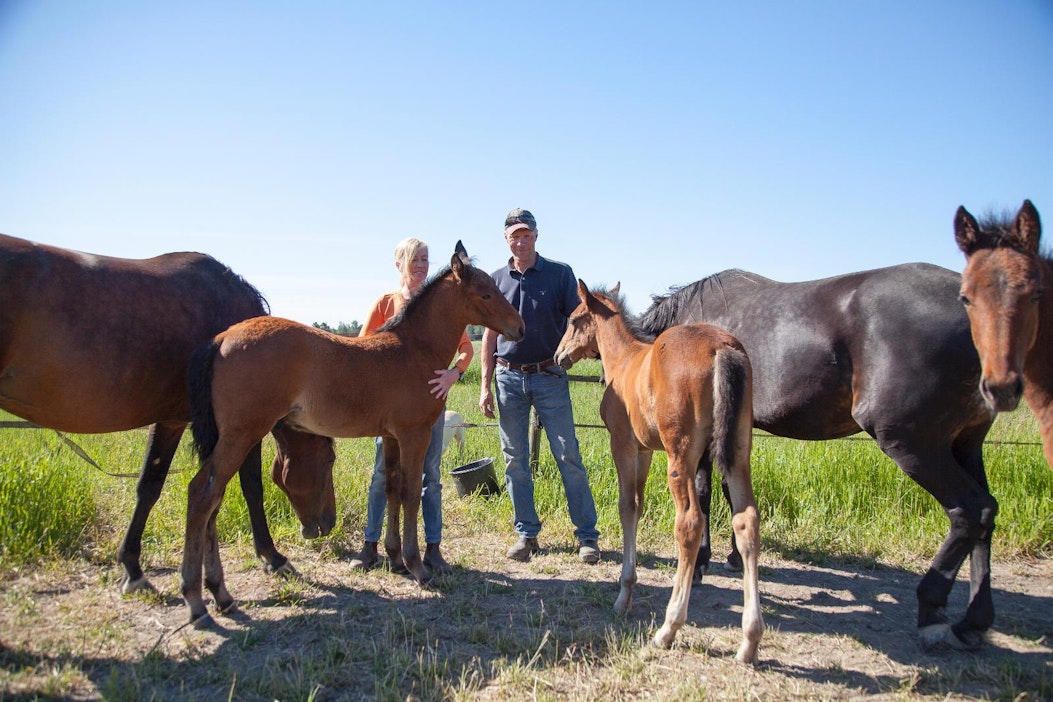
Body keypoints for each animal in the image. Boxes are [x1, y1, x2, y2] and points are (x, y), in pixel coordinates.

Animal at [0, 234, 328, 593]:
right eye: (329, 461)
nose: (327, 525)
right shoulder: (239, 426)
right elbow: (248, 486)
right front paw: (272, 556)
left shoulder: (172, 420)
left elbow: (149, 486)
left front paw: (132, 567)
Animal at [184, 243, 522, 627]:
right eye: (485, 293)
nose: (519, 327)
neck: (413, 350)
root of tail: (221, 339)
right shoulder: (413, 434)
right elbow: (410, 493)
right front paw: (417, 567)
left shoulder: (390, 437)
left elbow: (391, 489)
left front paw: (395, 559)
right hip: (240, 435)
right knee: (203, 496)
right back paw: (198, 601)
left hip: (227, 438)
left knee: (210, 500)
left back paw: (220, 596)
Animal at [551, 282, 766, 665]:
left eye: (574, 320)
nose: (559, 356)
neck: (624, 360)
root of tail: (722, 348)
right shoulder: (646, 450)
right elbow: (637, 506)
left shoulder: (623, 445)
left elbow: (627, 508)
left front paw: (624, 596)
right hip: (739, 452)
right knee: (747, 521)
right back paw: (749, 641)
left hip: (681, 455)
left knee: (690, 523)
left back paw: (668, 628)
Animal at [636, 265, 998, 652]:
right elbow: (731, 493)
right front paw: (733, 556)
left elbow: (704, 494)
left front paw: (703, 562)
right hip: (966, 442)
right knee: (987, 513)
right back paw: (973, 622)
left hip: (915, 444)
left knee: (970, 510)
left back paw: (931, 608)